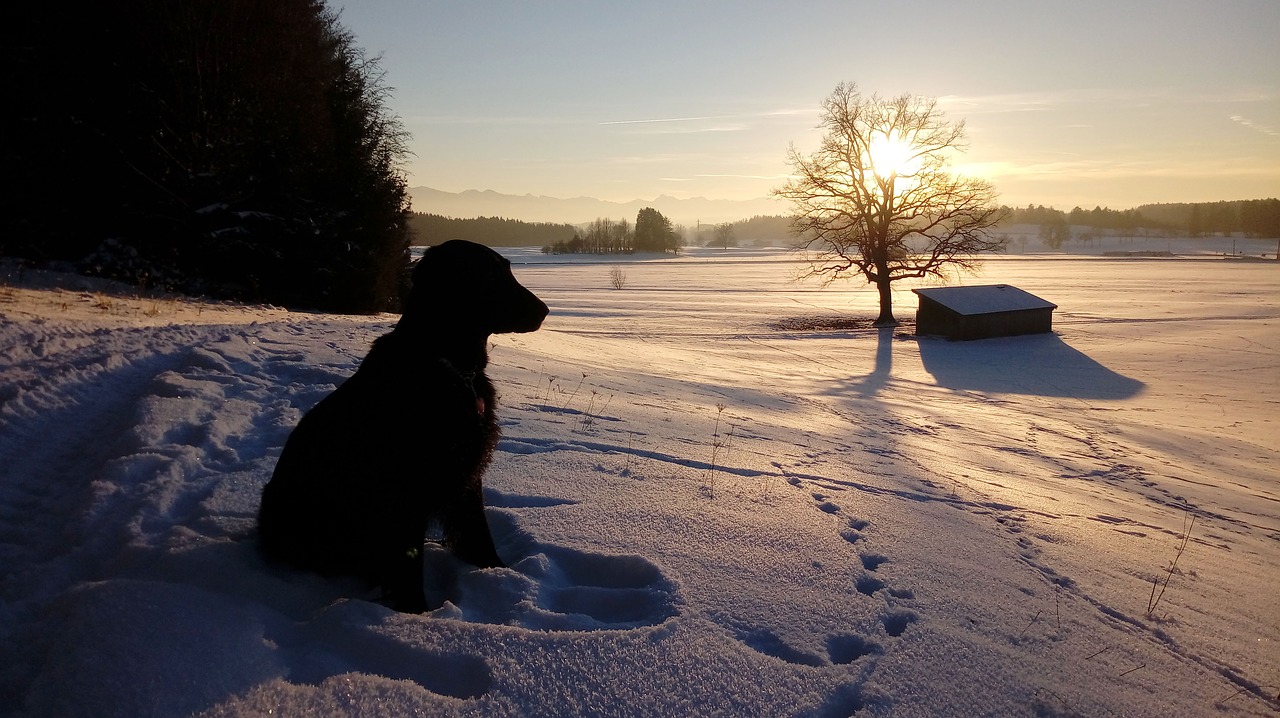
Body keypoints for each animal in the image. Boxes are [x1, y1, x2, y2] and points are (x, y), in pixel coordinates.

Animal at [257, 239, 547, 609]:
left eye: (507, 269)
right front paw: (415, 613)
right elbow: (409, 564)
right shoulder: (406, 488)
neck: (450, 366)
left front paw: (501, 576)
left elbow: (478, 534)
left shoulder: (467, 473)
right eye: (490, 275)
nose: (544, 310)